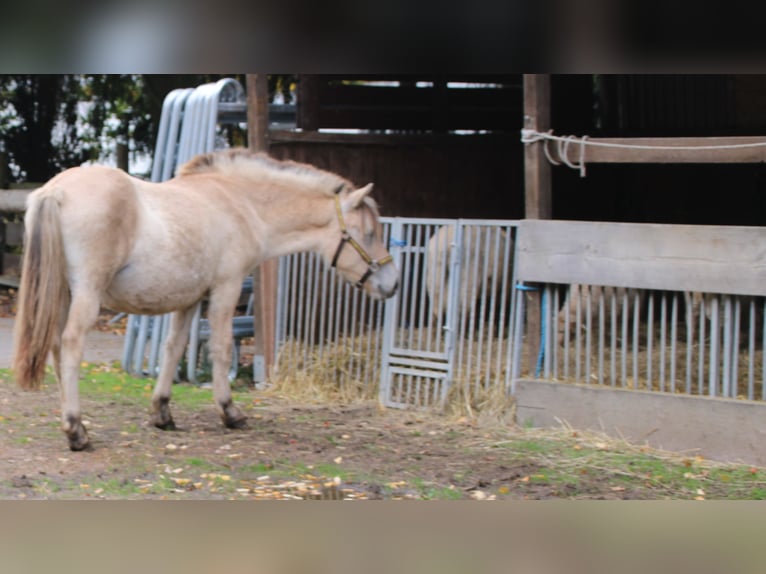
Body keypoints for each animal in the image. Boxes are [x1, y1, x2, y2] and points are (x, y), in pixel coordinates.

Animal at [12, 150, 402, 454]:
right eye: (369, 233)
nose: (393, 284)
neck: (239, 203)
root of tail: (56, 190)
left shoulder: (189, 300)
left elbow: (174, 348)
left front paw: (162, 413)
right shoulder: (225, 290)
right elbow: (220, 349)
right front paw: (230, 412)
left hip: (62, 295)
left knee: (56, 349)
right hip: (87, 295)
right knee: (70, 346)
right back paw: (76, 430)